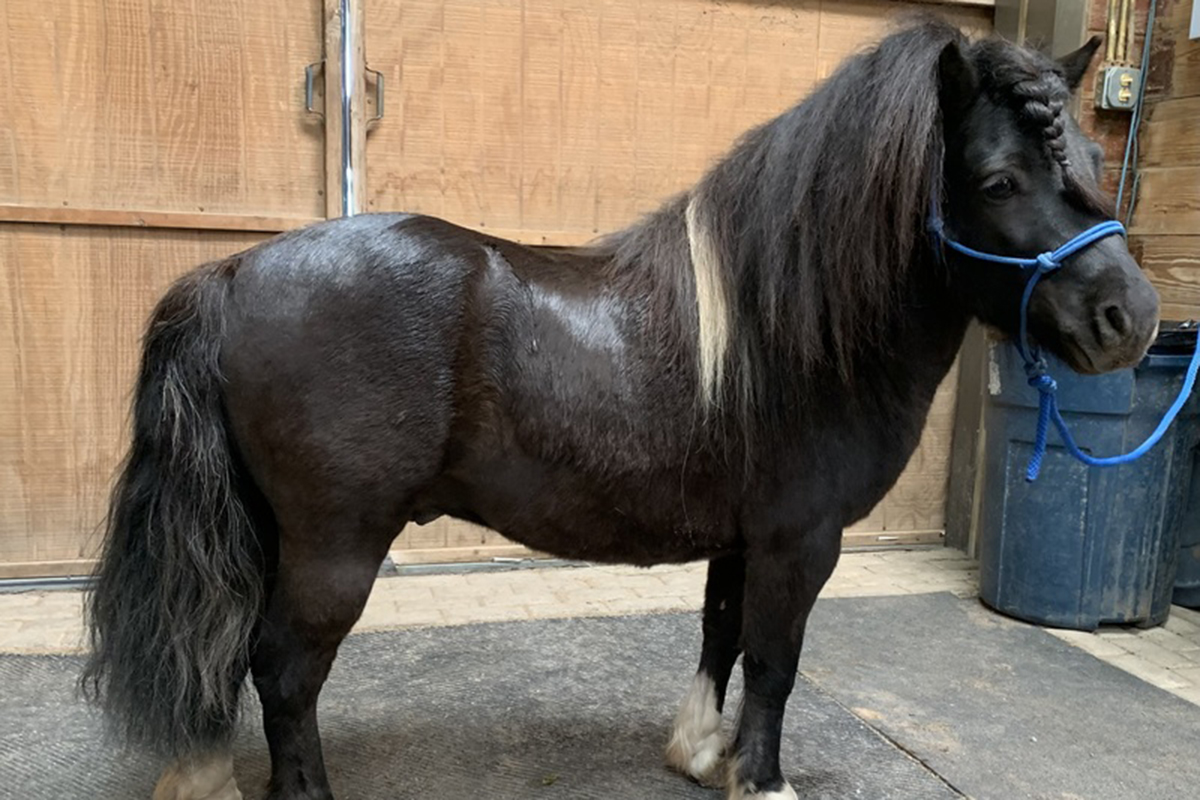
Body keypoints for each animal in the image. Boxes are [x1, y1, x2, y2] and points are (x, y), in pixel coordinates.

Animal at [81, 17, 1159, 800]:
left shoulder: (744, 537)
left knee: (226, 653)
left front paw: (702, 754)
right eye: (998, 179)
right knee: (283, 672)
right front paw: (762, 780)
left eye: (1091, 164)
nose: (1131, 319)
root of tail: (232, 272)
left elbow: (723, 634)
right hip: (333, 546)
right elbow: (776, 659)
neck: (786, 332)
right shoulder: (800, 540)